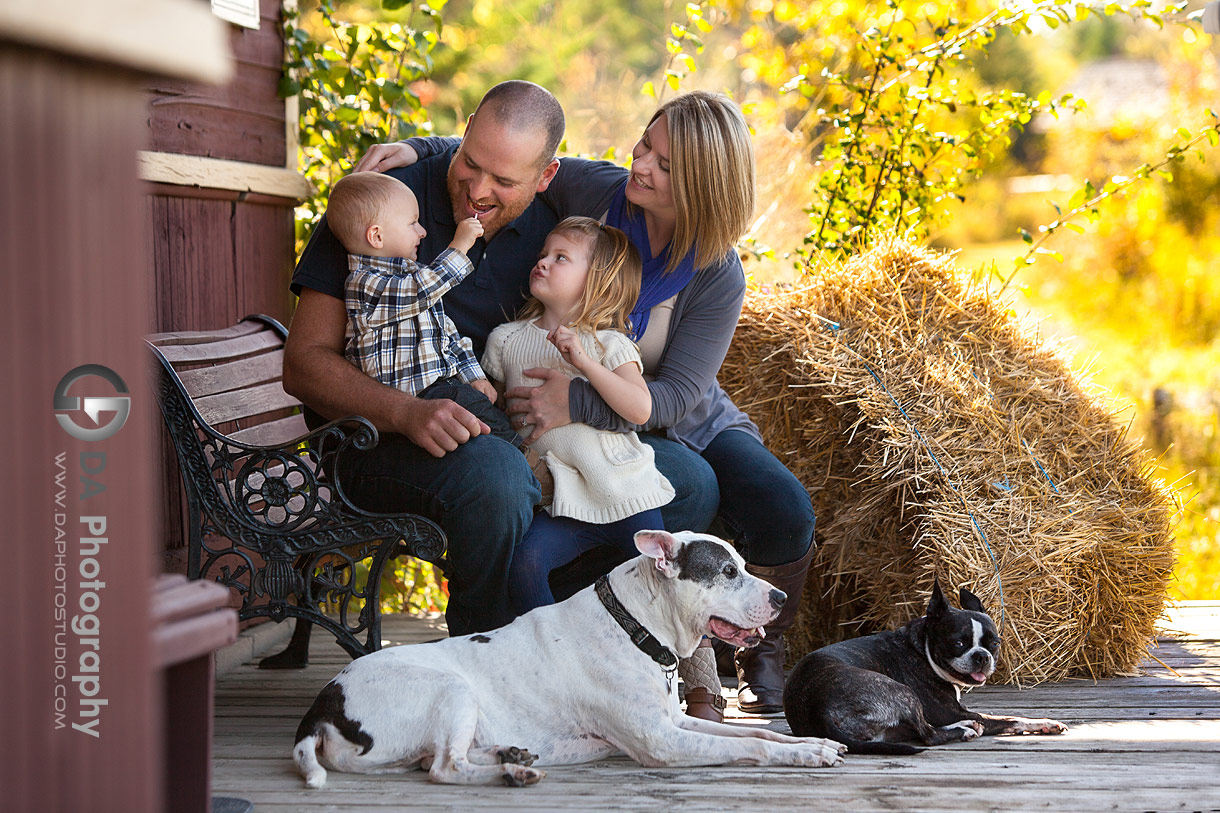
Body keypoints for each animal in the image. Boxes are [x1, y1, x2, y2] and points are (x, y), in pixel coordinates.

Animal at [290, 529, 844, 781]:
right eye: (727, 572)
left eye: (744, 565)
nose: (781, 597)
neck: (635, 625)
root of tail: (320, 709)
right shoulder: (665, 742)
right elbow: (752, 745)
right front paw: (804, 754)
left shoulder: (678, 722)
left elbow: (753, 732)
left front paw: (811, 740)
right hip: (451, 688)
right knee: (446, 767)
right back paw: (511, 772)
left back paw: (510, 755)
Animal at [780, 578, 1068, 751]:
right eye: (958, 643)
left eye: (994, 644)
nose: (982, 656)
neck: (923, 649)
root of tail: (819, 709)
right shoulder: (949, 712)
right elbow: (1009, 718)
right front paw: (1043, 722)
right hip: (901, 692)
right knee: (928, 735)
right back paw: (964, 730)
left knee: (917, 731)